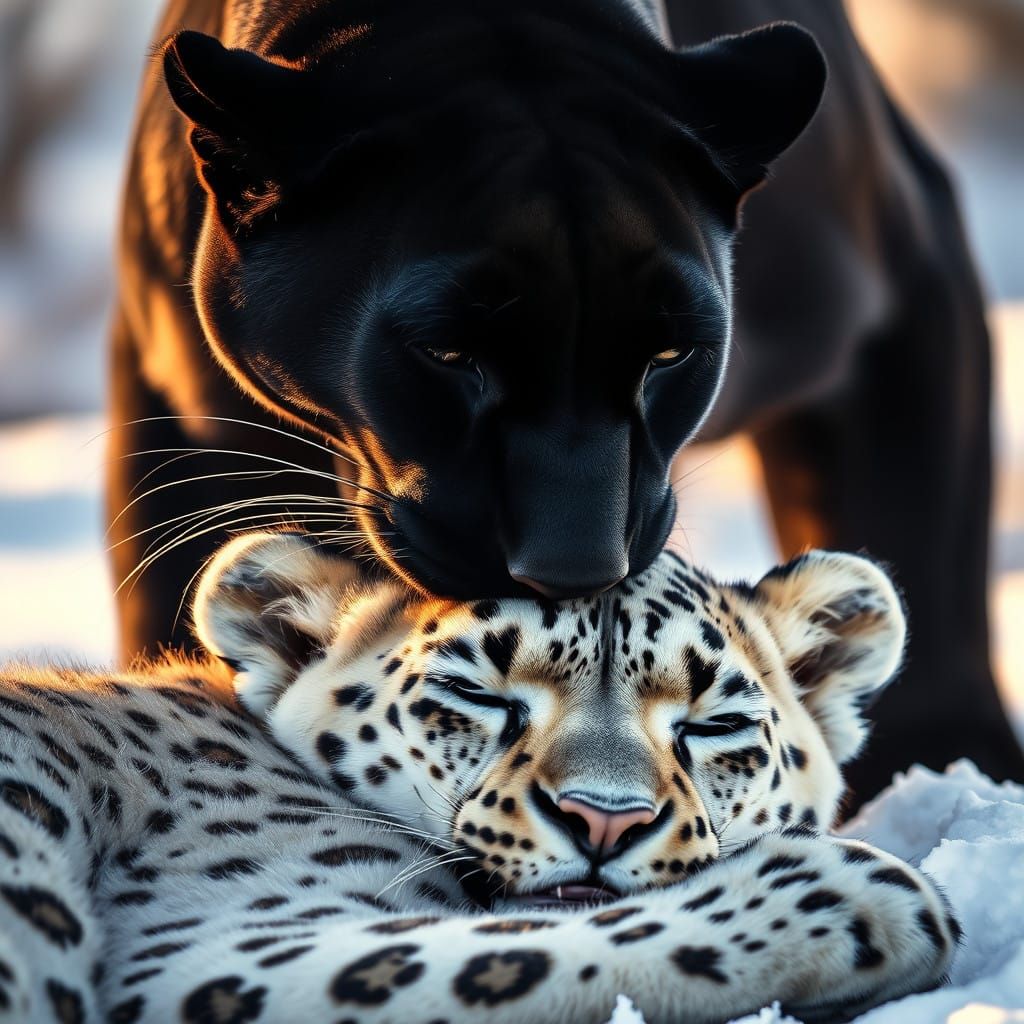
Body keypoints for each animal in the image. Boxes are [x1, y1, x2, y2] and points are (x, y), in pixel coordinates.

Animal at [0, 532, 959, 1023]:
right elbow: (524, 952)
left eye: (713, 724)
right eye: (476, 693)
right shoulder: (217, 941)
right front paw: (866, 900)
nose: (603, 820)